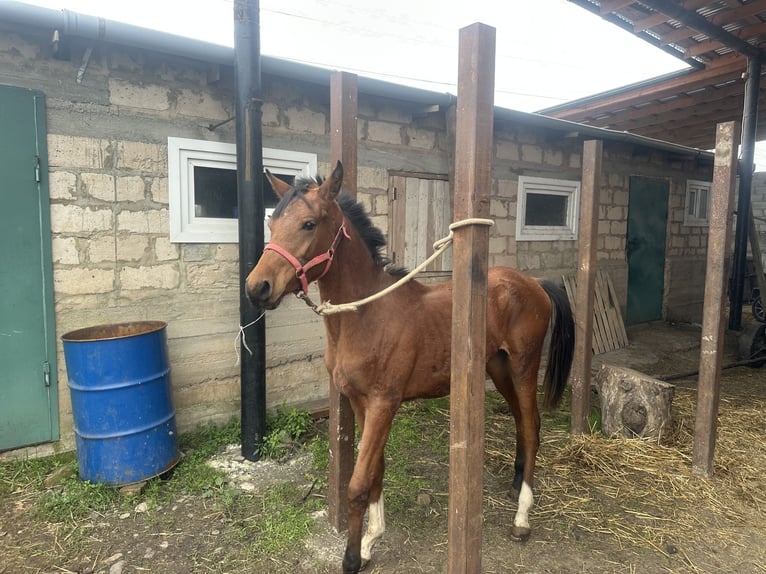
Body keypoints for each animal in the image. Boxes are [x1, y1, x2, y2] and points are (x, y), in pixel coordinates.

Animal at [245, 161, 574, 574]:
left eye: (308, 223)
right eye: (272, 223)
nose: (257, 287)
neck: (366, 316)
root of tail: (534, 283)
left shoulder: (384, 404)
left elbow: (357, 484)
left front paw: (352, 557)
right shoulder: (360, 402)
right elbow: (375, 471)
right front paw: (371, 541)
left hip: (523, 368)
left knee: (531, 429)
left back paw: (522, 517)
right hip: (498, 370)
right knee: (523, 423)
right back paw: (516, 484)